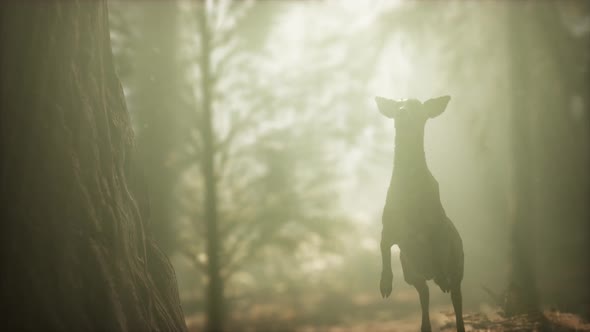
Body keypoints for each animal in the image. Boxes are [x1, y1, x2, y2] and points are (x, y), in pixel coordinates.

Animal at [374, 95, 468, 332]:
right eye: (397, 105)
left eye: (417, 105)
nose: (402, 112)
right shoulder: (389, 227)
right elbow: (383, 248)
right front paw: (385, 285)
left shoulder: (436, 225)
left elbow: (439, 249)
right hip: (411, 273)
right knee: (424, 297)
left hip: (459, 266)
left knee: (457, 300)